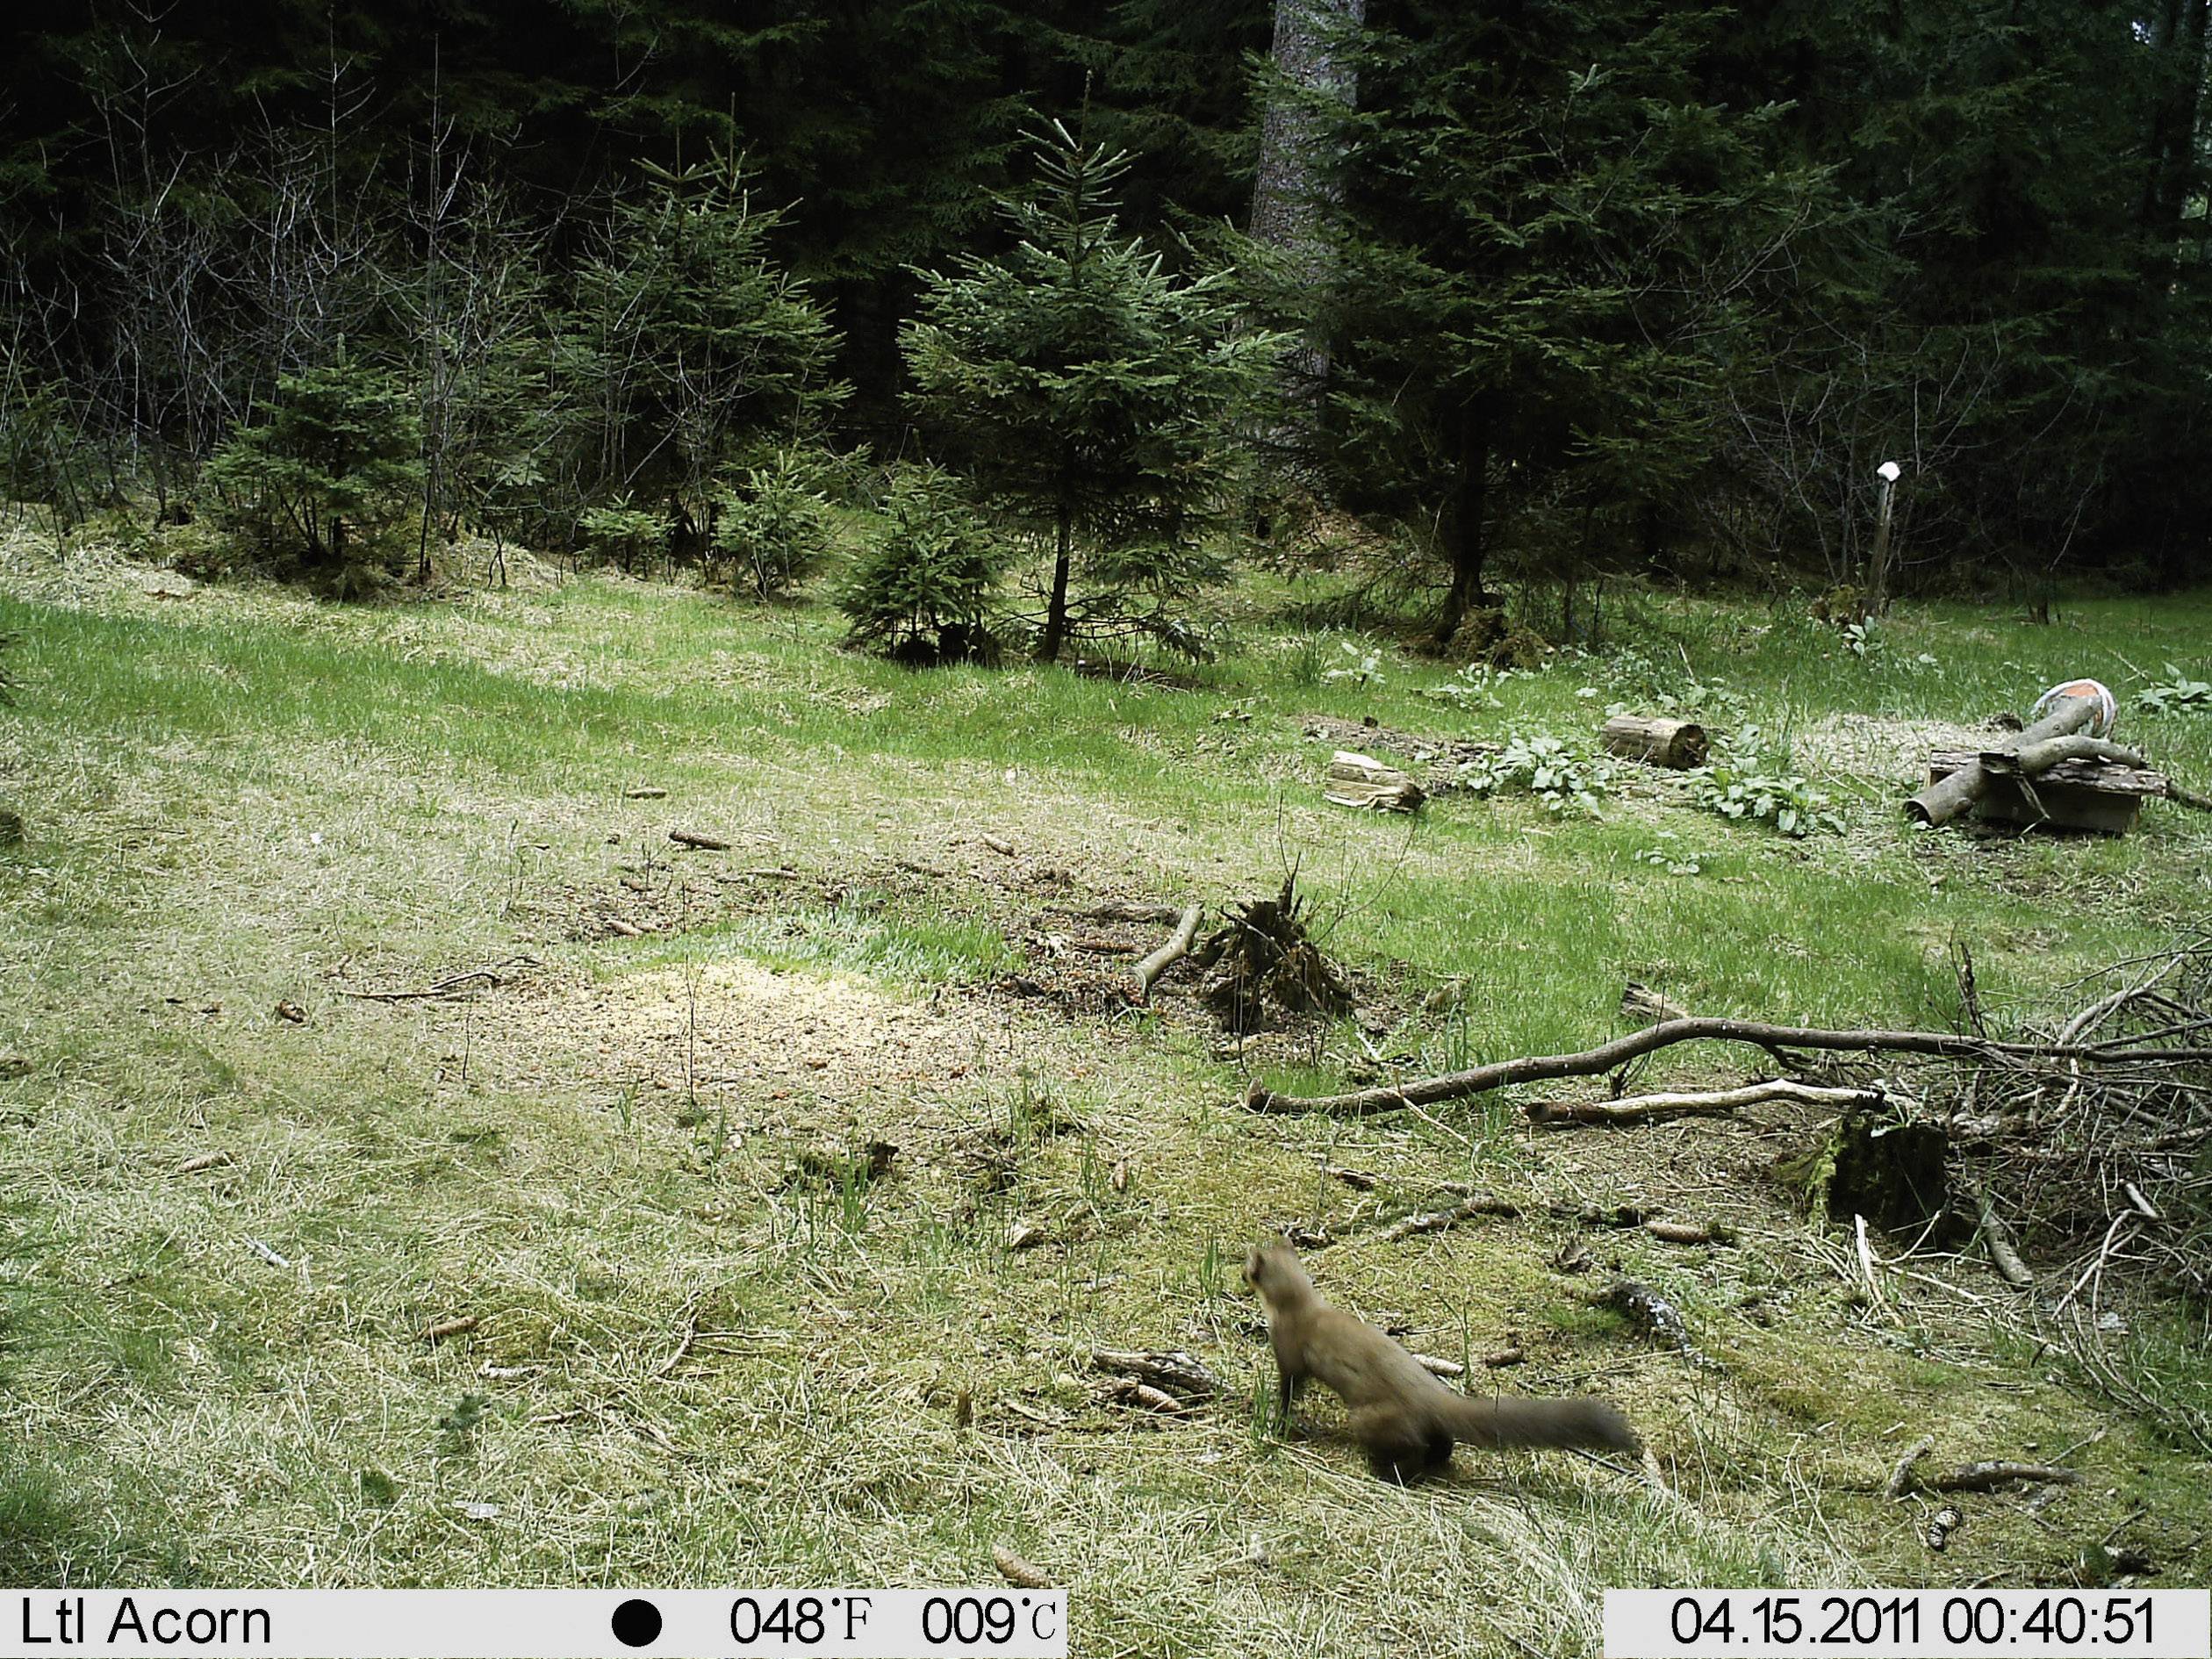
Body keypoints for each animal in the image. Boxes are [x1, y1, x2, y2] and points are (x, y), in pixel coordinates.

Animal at [1244, 1239, 1641, 1481]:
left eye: (1248, 1265)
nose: (1241, 1268)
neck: (1300, 1308)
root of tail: (1434, 1396)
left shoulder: (1289, 1352)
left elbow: (1288, 1388)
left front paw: (1278, 1420)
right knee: (1443, 1443)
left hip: (1371, 1416)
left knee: (1412, 1446)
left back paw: (1391, 1474)